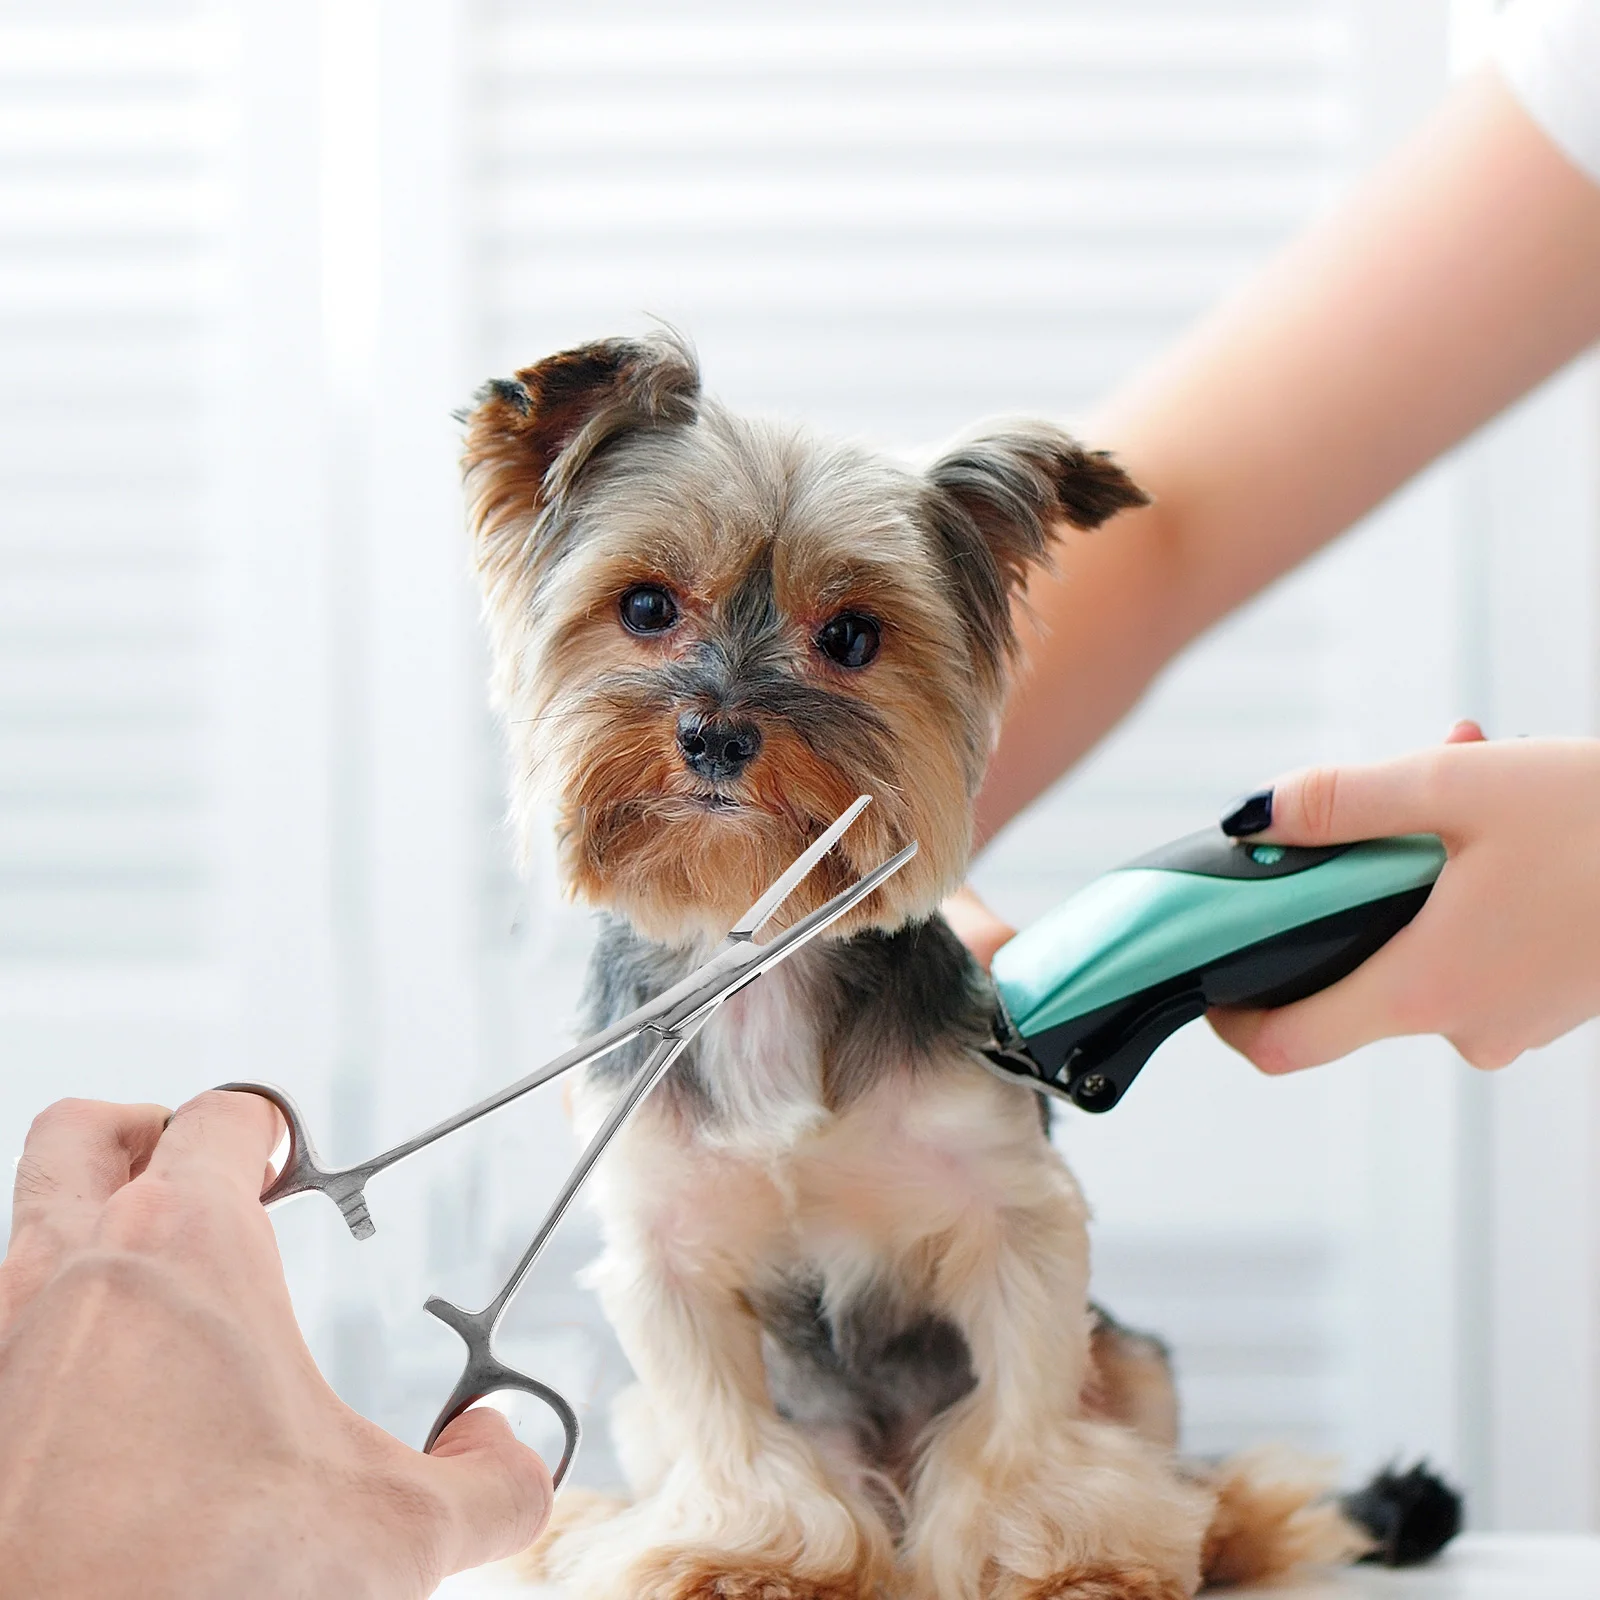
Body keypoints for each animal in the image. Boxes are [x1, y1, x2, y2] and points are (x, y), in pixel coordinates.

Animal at [464, 331, 1465, 1593]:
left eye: (851, 635)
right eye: (644, 605)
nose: (717, 733)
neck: (762, 967)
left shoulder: (1011, 1212)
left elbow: (1021, 1418)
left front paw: (1064, 1555)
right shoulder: (668, 1248)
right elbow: (729, 1429)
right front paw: (742, 1552)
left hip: (1135, 1357)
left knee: (1202, 1471)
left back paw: (1224, 1526)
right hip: (643, 1415)